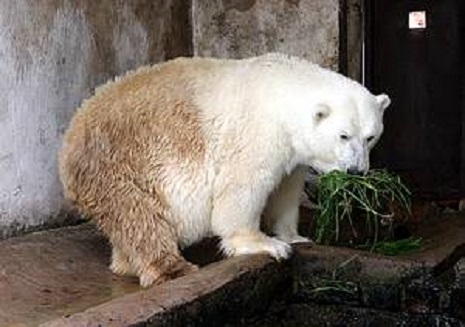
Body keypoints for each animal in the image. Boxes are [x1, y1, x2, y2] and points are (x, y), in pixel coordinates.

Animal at [59, 53, 390, 288]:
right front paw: (266, 245)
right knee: (139, 218)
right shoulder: (256, 133)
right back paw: (174, 269)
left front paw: (296, 238)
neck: (281, 91)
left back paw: (126, 264)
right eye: (343, 135)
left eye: (370, 136)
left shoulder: (292, 151)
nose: (357, 170)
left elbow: (285, 192)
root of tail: (71, 135)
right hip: (120, 163)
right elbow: (243, 188)